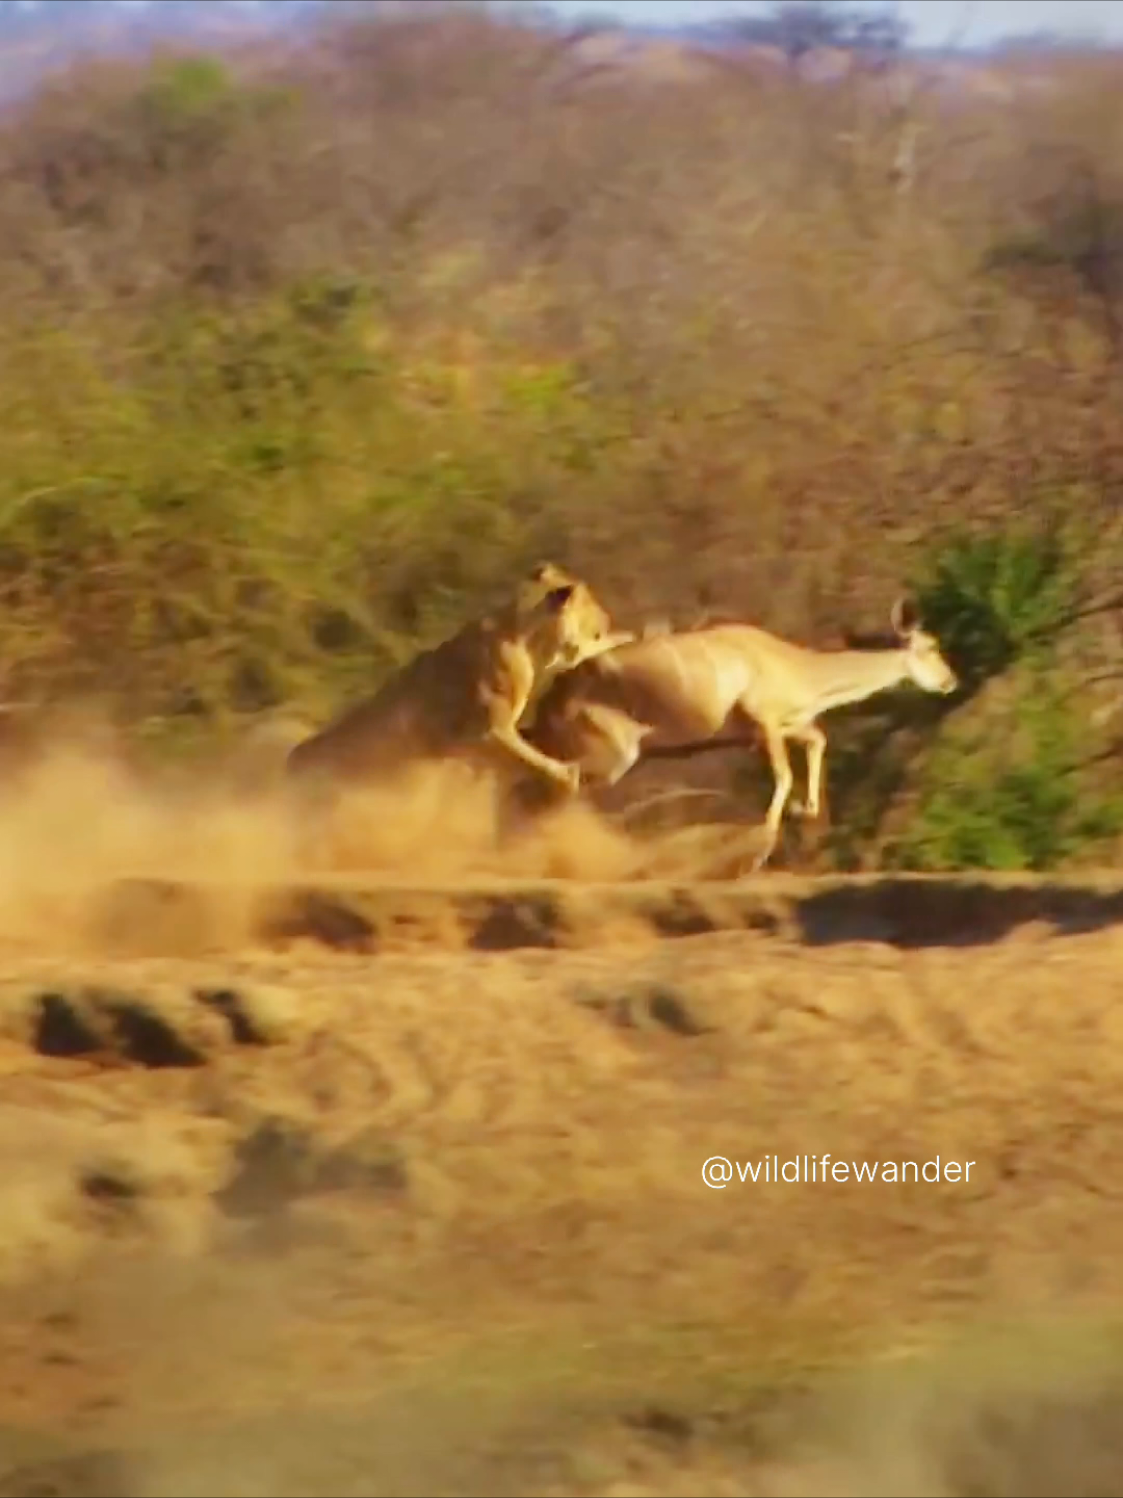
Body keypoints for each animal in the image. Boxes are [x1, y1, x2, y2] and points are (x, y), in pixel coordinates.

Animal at [285, 563, 637, 796]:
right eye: (592, 604)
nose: (608, 618)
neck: (527, 641)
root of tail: (289, 763)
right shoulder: (487, 730)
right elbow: (531, 759)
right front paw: (568, 776)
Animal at [527, 596, 958, 874]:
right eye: (930, 646)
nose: (950, 681)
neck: (799, 666)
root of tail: (554, 694)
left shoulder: (774, 728)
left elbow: (816, 739)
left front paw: (804, 809)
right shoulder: (764, 723)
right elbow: (784, 775)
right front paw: (757, 850)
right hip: (614, 756)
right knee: (560, 788)